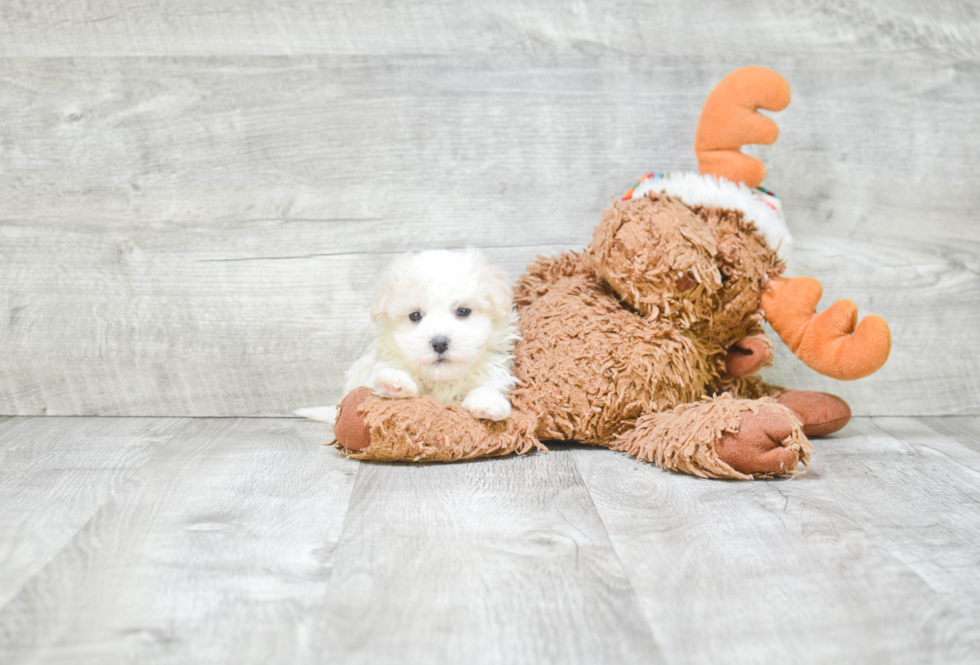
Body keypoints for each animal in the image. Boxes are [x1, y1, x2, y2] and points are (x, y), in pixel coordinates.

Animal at [292, 246, 516, 422]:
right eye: (415, 315)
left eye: (463, 311)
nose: (439, 343)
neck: (441, 382)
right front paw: (392, 381)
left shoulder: (491, 370)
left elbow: (486, 386)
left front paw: (488, 403)